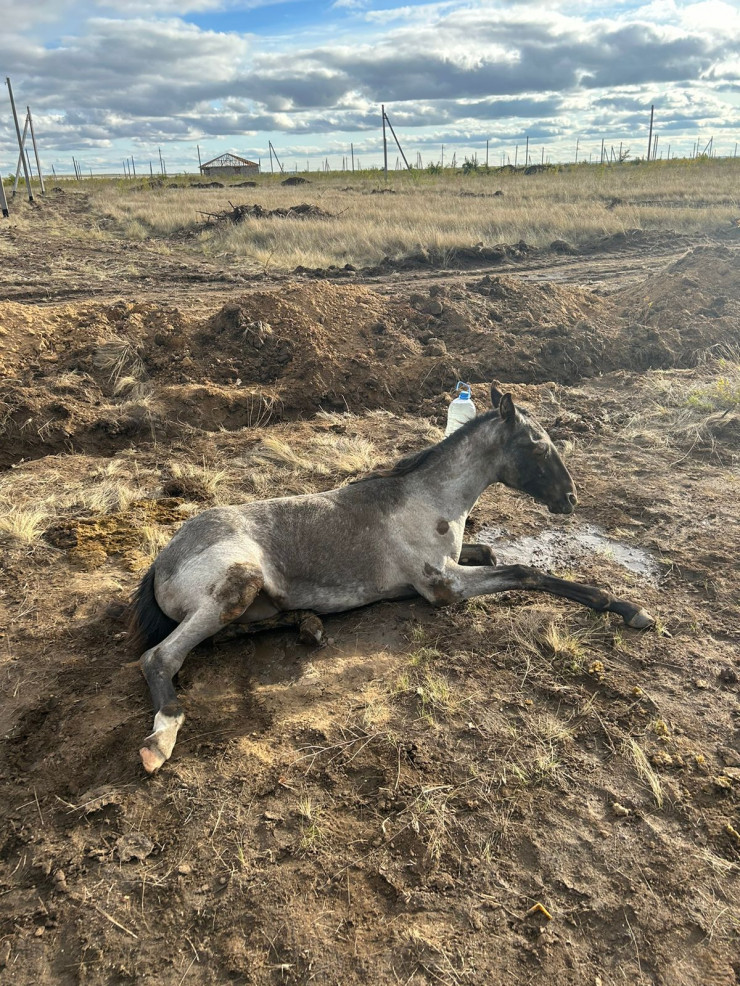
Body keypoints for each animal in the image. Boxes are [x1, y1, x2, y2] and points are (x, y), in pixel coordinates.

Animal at [127, 384, 652, 768]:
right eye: (538, 446)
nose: (571, 499)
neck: (429, 498)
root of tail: (161, 561)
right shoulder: (444, 586)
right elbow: (526, 570)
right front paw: (623, 606)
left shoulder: (458, 562)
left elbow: (493, 550)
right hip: (234, 588)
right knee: (160, 656)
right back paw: (160, 739)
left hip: (250, 601)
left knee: (230, 633)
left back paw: (310, 624)